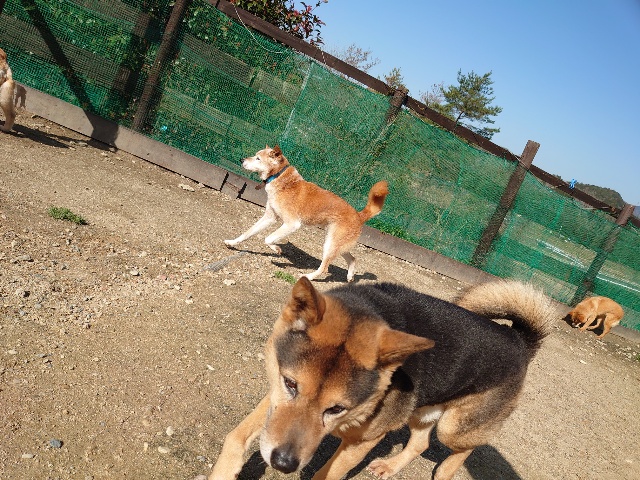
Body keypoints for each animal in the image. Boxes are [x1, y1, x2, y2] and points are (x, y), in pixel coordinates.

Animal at [209, 278, 554, 480]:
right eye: (291, 385)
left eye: (336, 408)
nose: (282, 463)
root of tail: (519, 340)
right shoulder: (275, 400)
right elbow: (237, 437)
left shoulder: (364, 441)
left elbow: (326, 474)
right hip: (421, 411)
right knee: (420, 442)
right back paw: (390, 466)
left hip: (453, 428)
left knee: (466, 447)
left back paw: (445, 471)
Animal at [224, 145, 388, 282]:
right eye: (255, 155)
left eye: (258, 158)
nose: (241, 159)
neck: (280, 179)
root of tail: (359, 215)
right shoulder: (270, 217)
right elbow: (248, 233)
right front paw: (232, 242)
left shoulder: (292, 224)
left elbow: (268, 238)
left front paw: (277, 249)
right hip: (334, 243)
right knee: (353, 259)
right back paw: (349, 277)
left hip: (330, 244)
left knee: (325, 268)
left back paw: (308, 276)